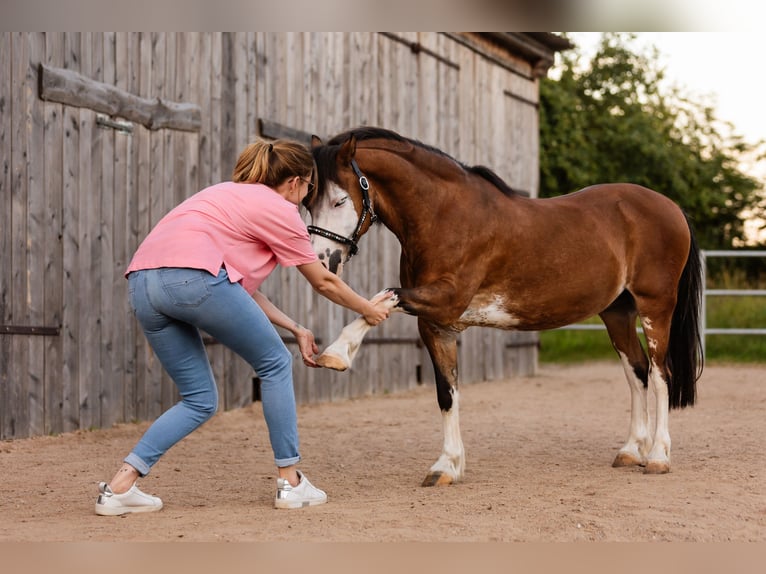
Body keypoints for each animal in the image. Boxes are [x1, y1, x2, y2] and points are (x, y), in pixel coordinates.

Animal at [304, 126, 704, 486]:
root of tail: (673, 208)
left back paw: (658, 457)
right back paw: (631, 451)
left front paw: (337, 353)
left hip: (656, 307)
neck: (445, 216)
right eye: (308, 202)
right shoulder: (436, 325)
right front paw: (447, 466)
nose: (323, 262)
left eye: (340, 200)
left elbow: (385, 296)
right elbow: (446, 394)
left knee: (660, 374)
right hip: (617, 313)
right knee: (637, 371)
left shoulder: (445, 300)